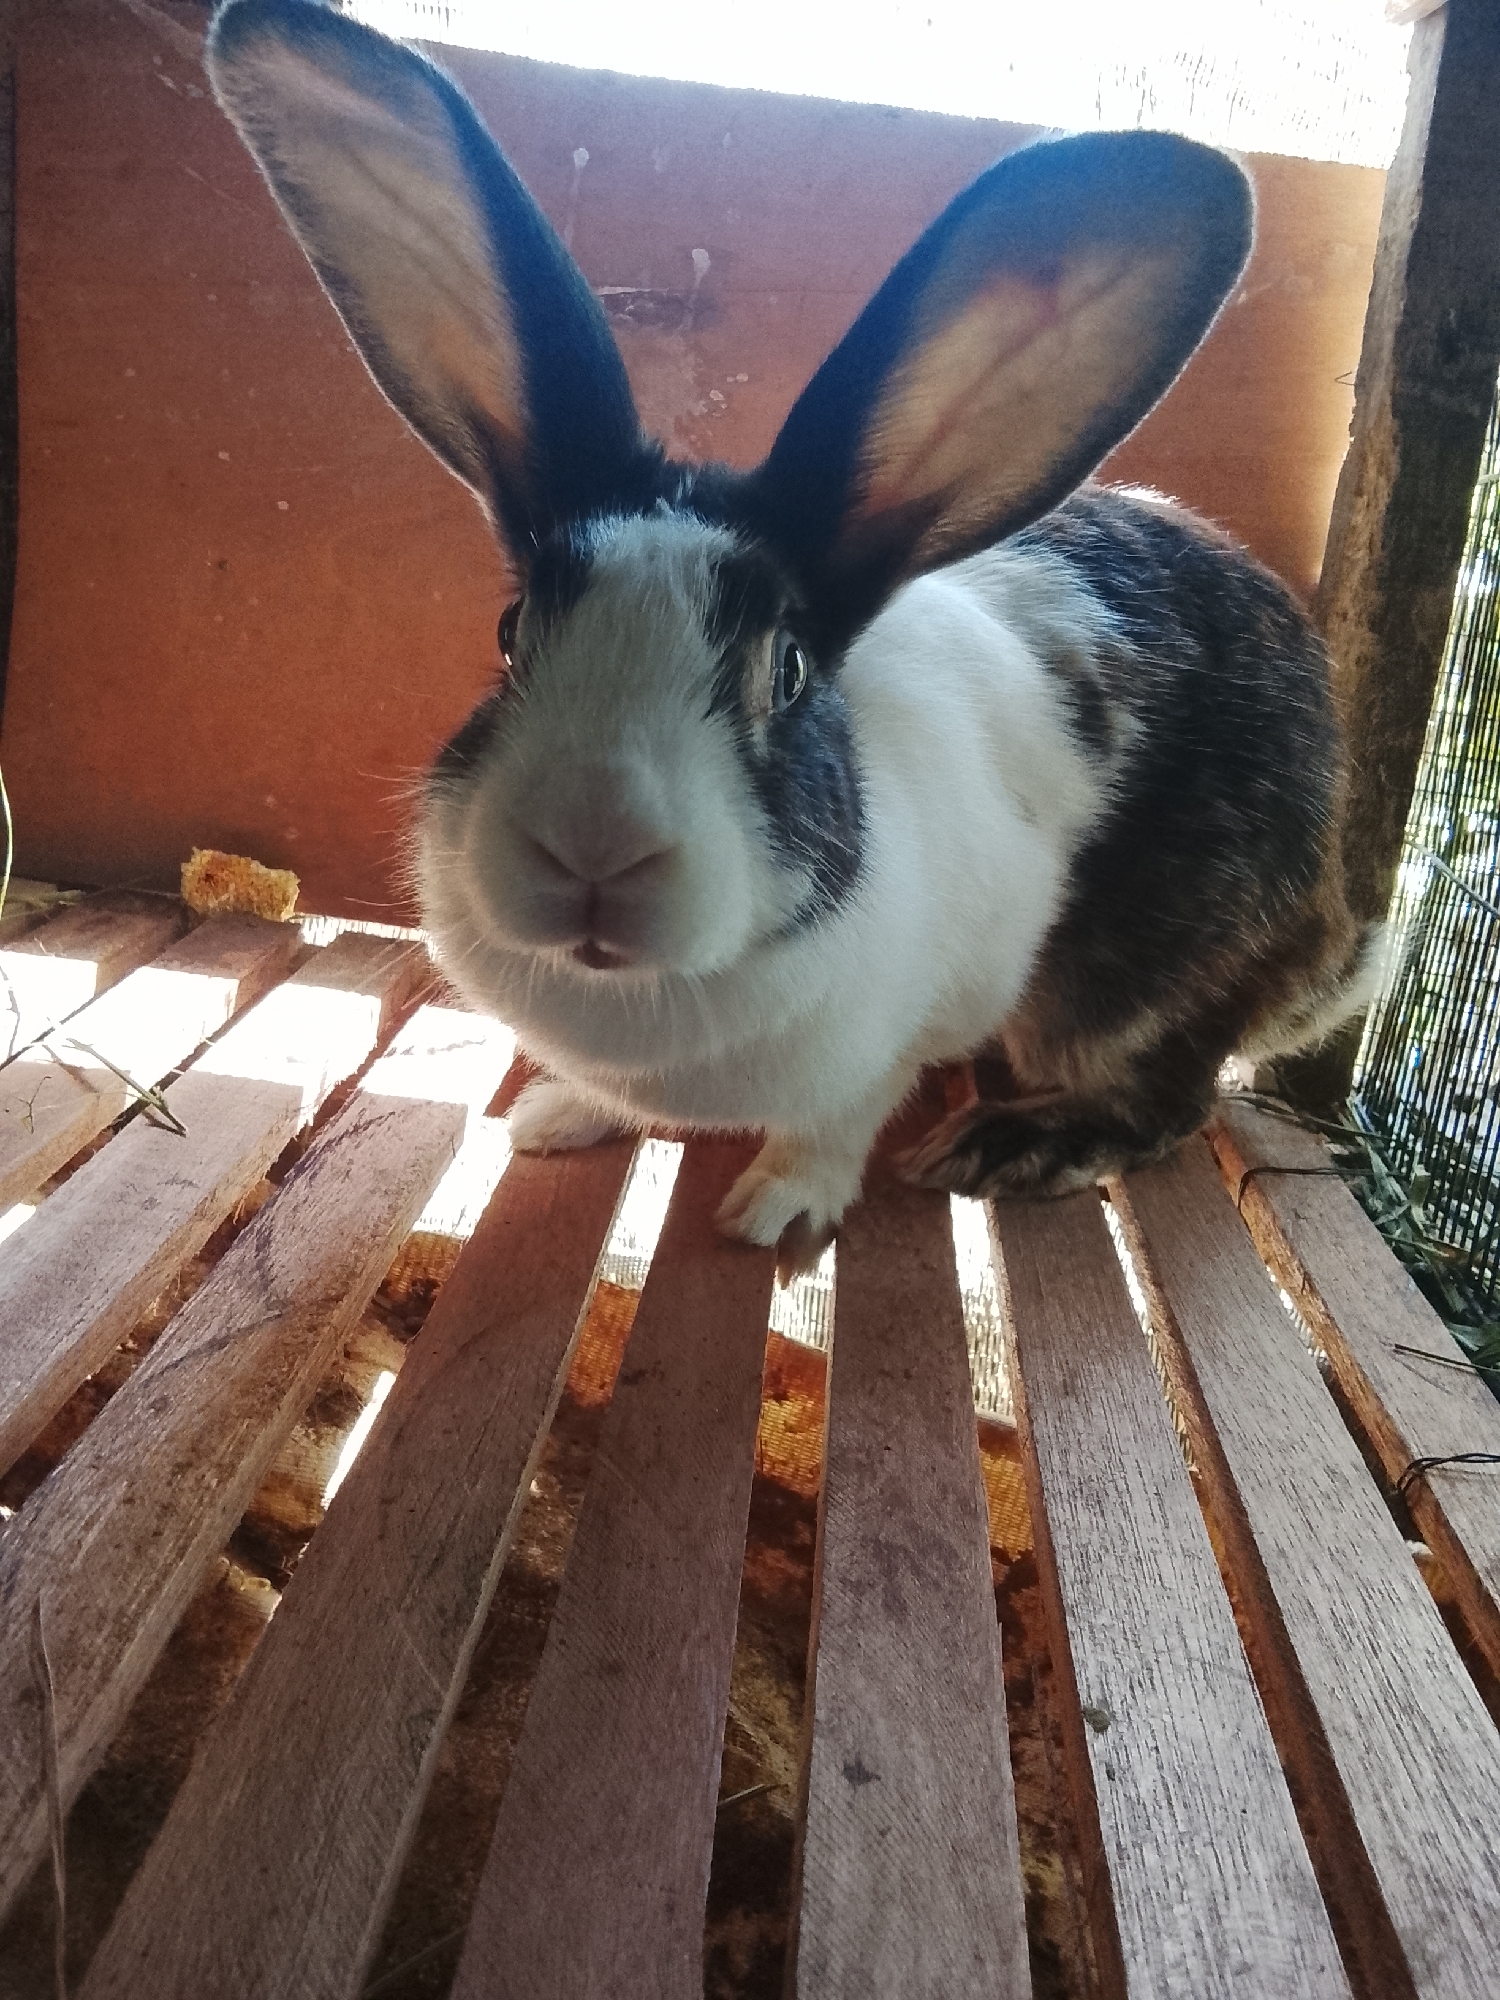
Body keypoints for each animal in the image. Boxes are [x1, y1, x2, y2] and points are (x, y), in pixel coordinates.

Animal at [207, 0, 1369, 1271]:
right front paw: (556, 1117)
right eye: (513, 634)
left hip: (1128, 987)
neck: (642, 1005)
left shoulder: (894, 1038)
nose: (593, 845)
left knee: (1171, 1095)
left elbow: (841, 1121)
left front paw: (776, 1207)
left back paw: (1006, 1143)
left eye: (790, 667)